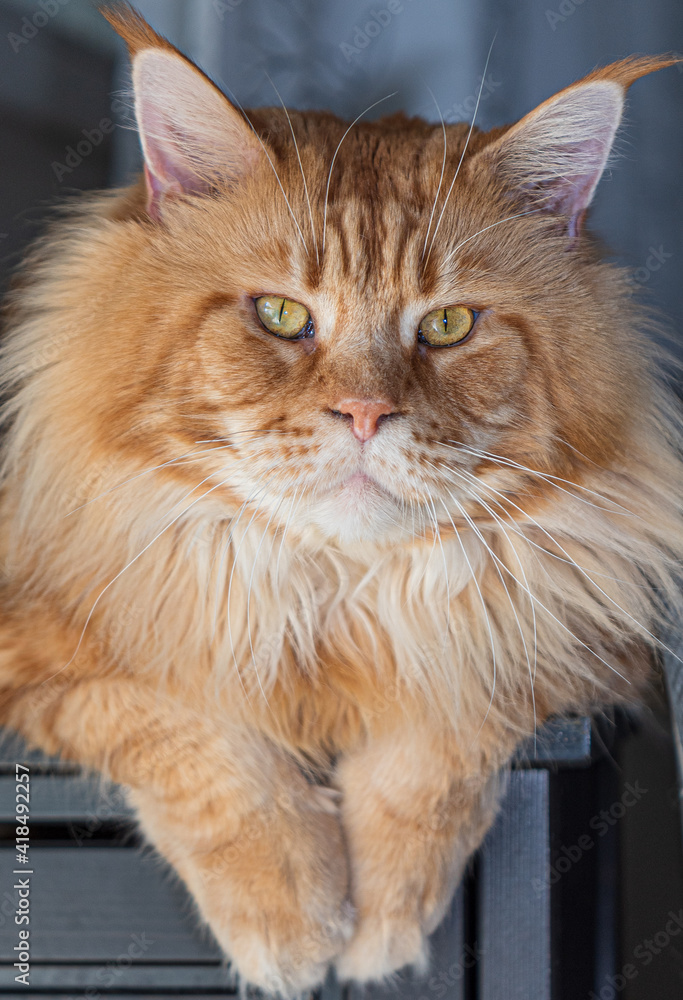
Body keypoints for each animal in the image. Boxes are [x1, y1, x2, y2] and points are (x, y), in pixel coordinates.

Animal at [0, 1, 680, 992]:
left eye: (448, 325)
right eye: (281, 315)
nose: (364, 413)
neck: (328, 601)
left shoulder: (570, 633)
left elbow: (443, 730)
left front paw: (384, 922)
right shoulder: (51, 645)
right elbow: (183, 729)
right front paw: (290, 918)